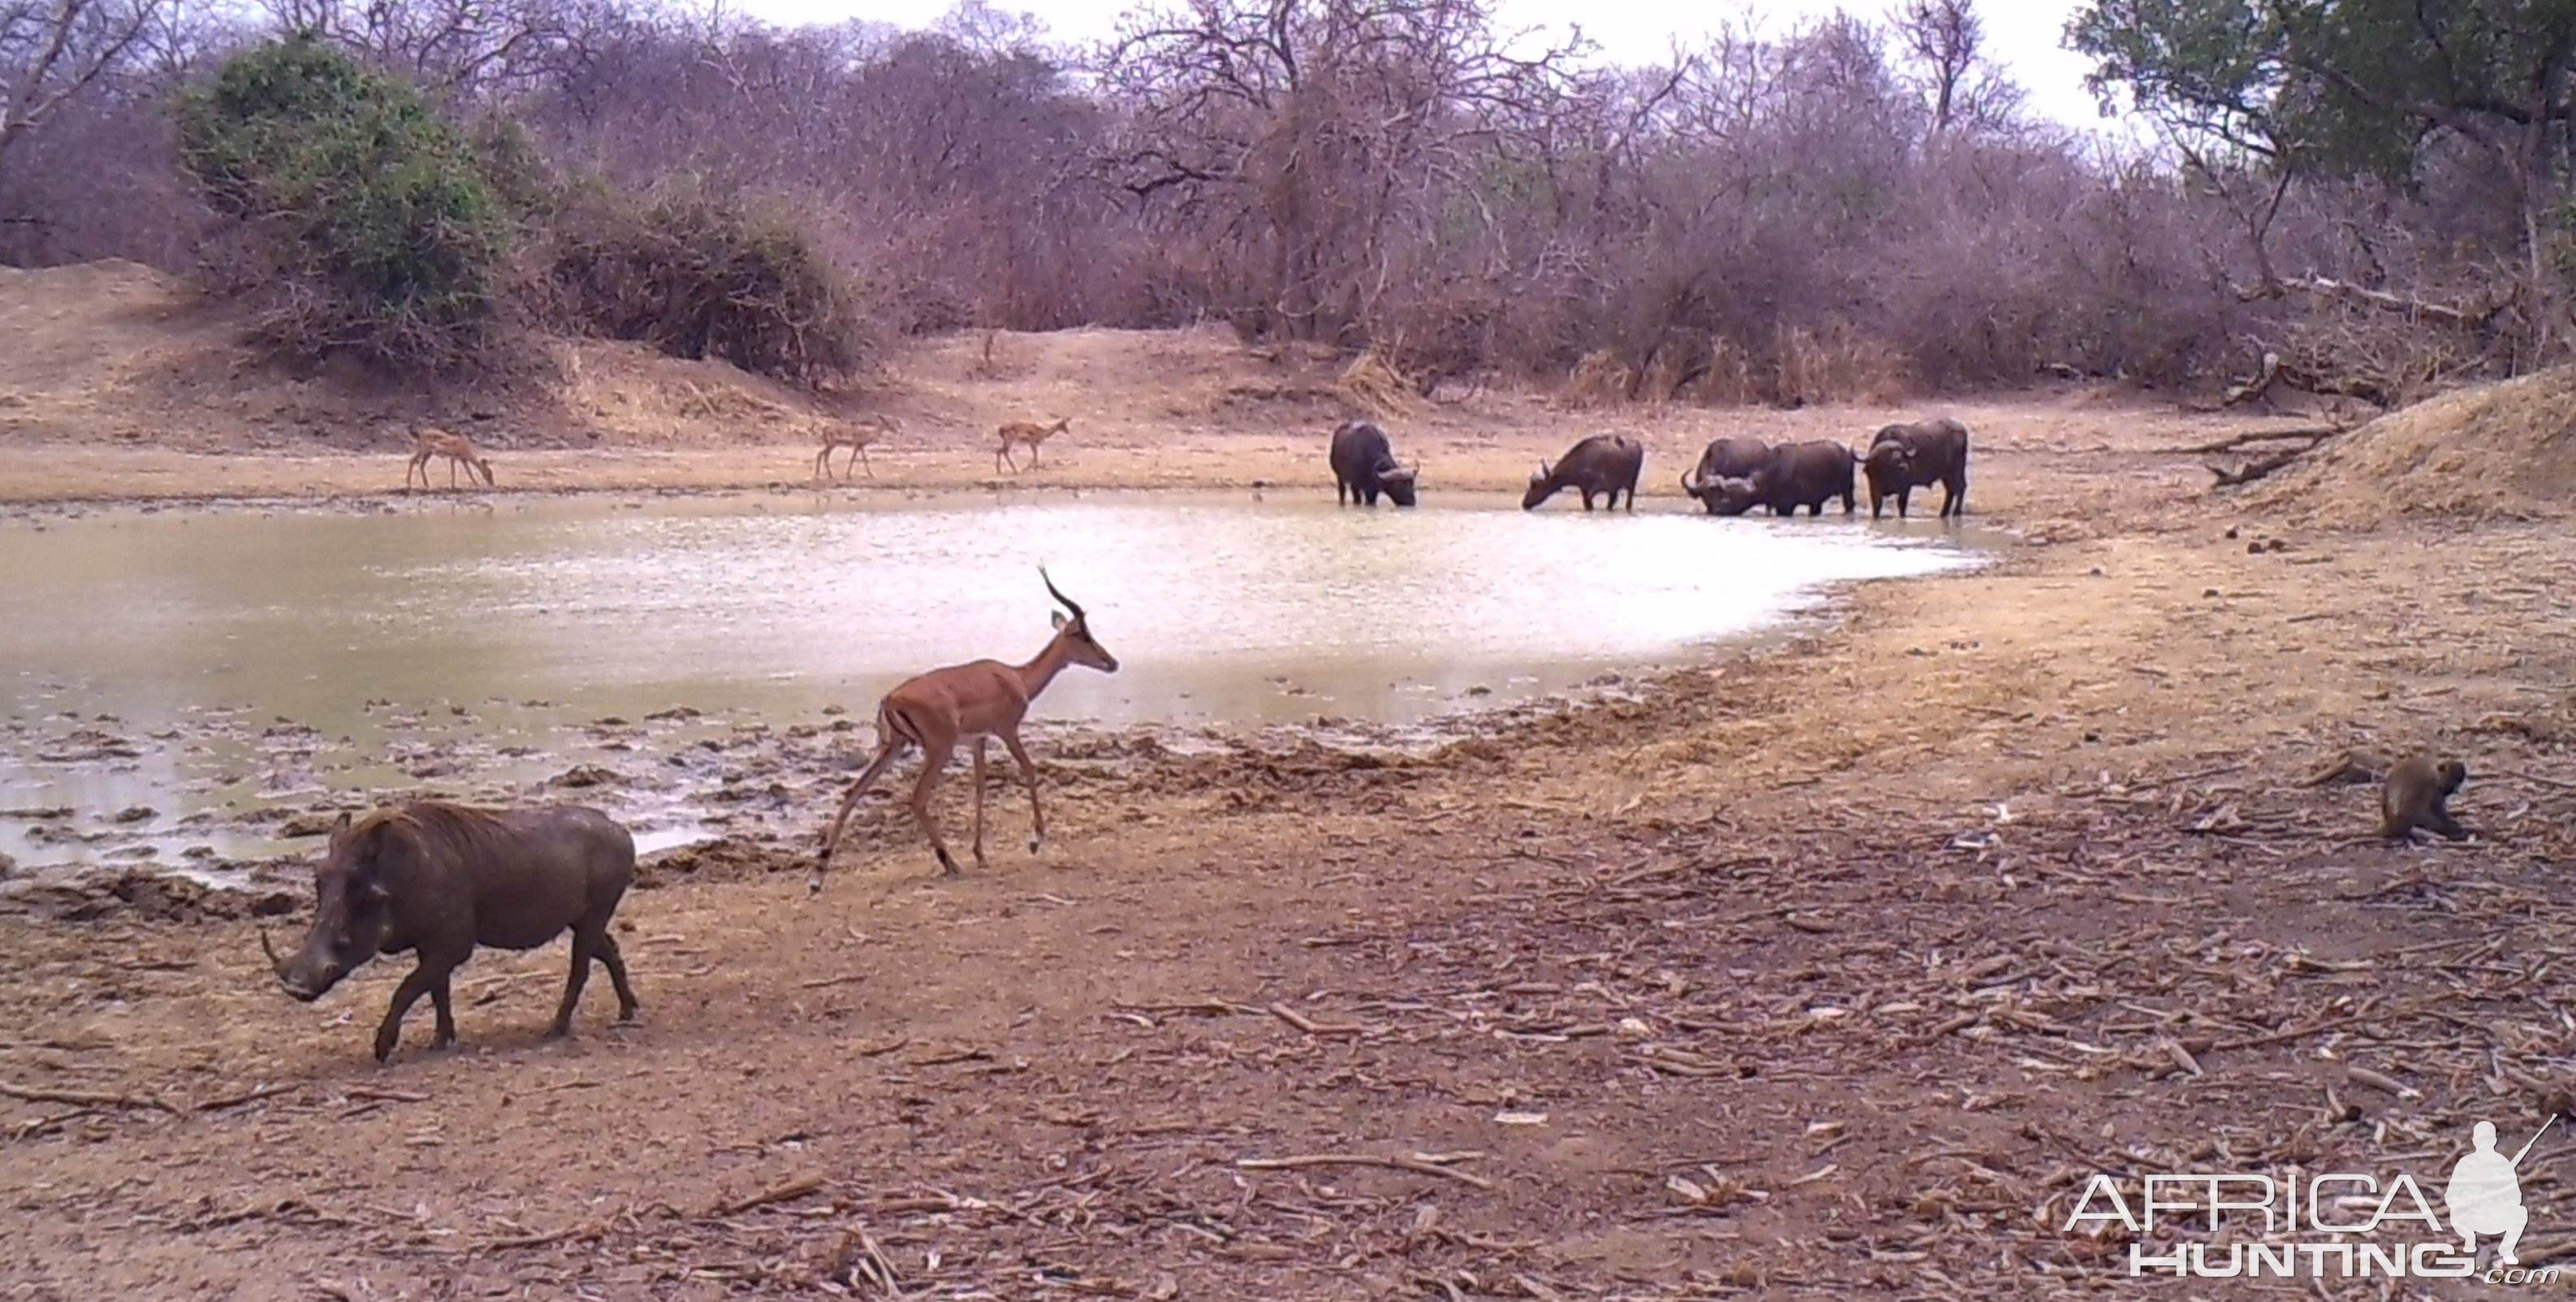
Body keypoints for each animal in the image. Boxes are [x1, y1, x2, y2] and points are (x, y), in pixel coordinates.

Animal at [262, 799, 644, 1062]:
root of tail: (620, 830)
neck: (403, 875)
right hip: (582, 919)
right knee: (609, 950)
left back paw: (555, 1029)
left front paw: (383, 1049)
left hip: (594, 915)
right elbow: (437, 991)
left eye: (360, 888)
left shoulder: (453, 945)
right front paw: (441, 1041)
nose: (296, 987)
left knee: (581, 968)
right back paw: (628, 1011)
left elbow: (406, 989)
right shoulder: (431, 946)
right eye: (319, 879)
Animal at [1515, 427, 1638, 505]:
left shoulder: (1595, 489)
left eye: (1535, 485)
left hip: (1631, 485)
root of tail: (1637, 444)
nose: (1525, 503)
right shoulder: (1586, 491)